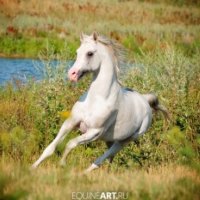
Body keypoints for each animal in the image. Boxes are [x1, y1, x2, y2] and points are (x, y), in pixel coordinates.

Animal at [32, 32, 168, 172]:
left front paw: (63, 164)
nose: (72, 74)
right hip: (110, 140)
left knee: (102, 158)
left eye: (90, 53)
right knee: (109, 158)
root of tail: (145, 100)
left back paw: (83, 173)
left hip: (125, 140)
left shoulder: (94, 132)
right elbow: (50, 148)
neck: (96, 100)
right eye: (77, 52)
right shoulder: (70, 122)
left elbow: (71, 143)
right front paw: (32, 168)